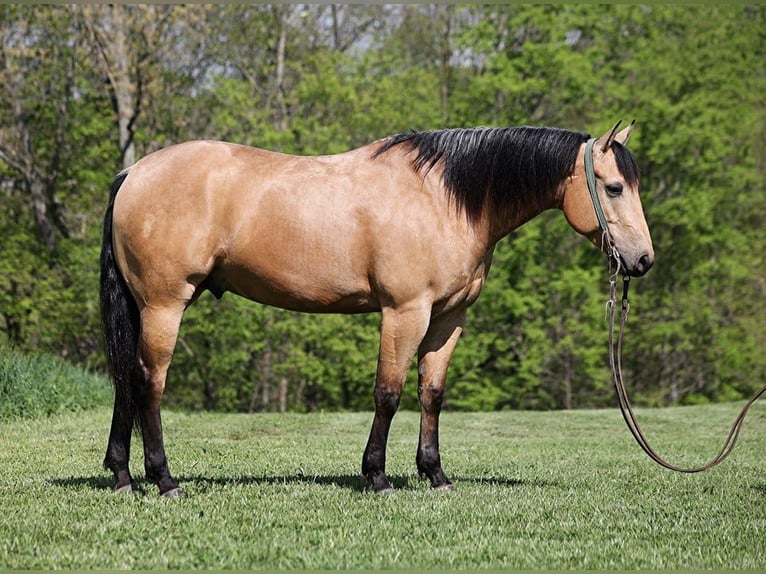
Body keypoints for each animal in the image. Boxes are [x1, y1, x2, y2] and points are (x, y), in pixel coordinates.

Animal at [100, 121, 653, 496]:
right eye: (614, 187)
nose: (643, 260)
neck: (442, 198)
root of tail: (133, 171)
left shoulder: (448, 318)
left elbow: (431, 394)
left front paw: (435, 473)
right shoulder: (405, 311)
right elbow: (388, 393)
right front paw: (377, 476)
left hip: (145, 307)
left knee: (127, 378)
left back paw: (123, 474)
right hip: (164, 305)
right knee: (149, 382)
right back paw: (164, 479)